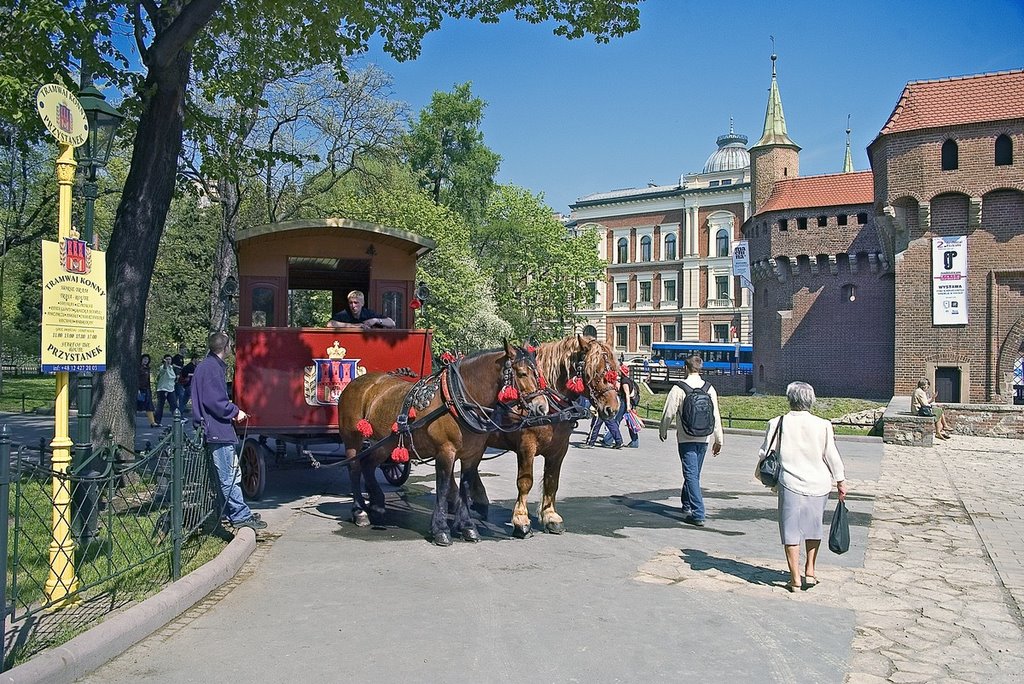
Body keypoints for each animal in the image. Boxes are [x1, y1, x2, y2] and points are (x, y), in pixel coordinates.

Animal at [337, 339, 548, 544]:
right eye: (522, 373)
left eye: (538, 373)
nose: (542, 407)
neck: (458, 400)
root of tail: (358, 381)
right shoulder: (445, 451)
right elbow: (444, 487)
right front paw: (441, 529)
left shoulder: (473, 454)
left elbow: (465, 487)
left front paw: (468, 527)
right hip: (353, 438)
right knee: (354, 467)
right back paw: (360, 511)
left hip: (385, 443)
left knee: (368, 465)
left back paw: (378, 504)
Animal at [468, 335, 618, 540]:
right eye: (594, 371)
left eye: (615, 371)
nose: (613, 409)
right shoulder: (526, 447)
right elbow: (525, 482)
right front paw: (521, 521)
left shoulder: (559, 449)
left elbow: (551, 481)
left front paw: (550, 517)